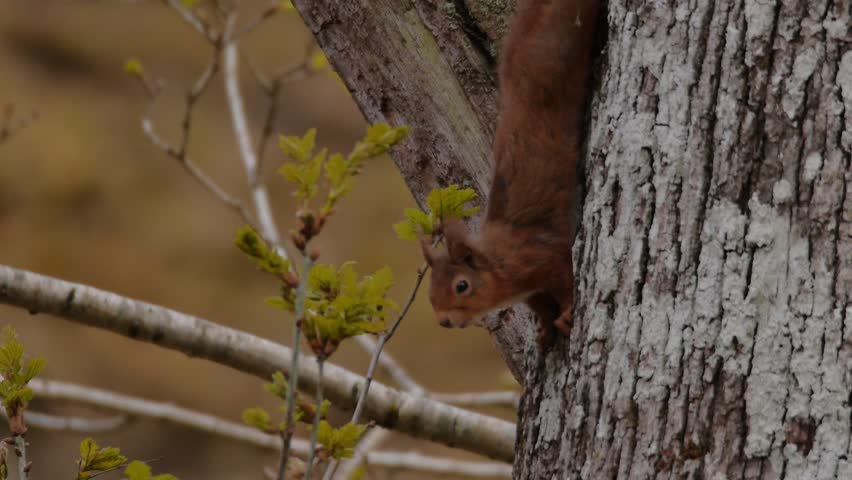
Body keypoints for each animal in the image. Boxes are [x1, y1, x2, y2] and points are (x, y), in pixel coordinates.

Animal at [419, 0, 601, 347]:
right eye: (430, 292)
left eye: (461, 285)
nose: (444, 322)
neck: (499, 265)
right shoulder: (529, 291)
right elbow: (540, 304)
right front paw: (544, 328)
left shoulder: (543, 257)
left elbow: (565, 280)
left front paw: (567, 313)